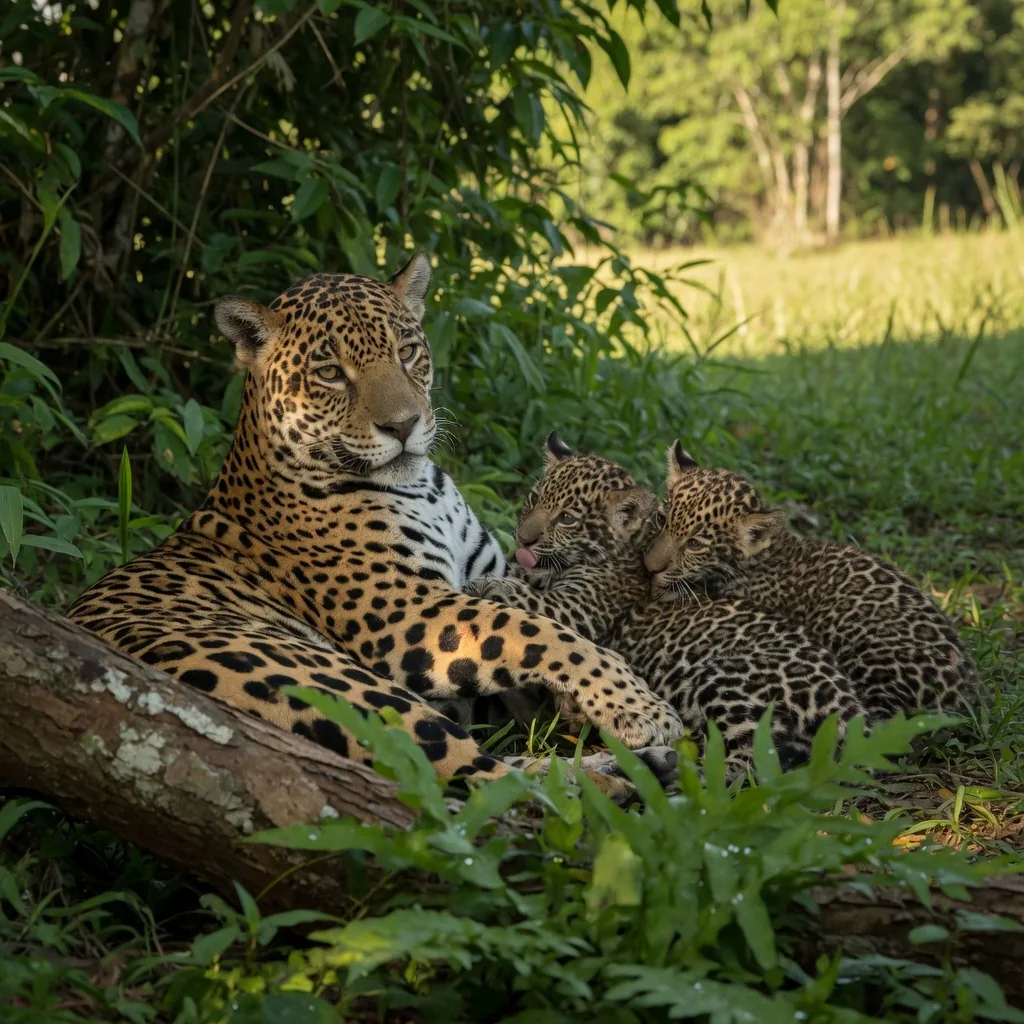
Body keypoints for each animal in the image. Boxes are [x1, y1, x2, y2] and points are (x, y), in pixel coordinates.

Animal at [67, 255, 685, 799]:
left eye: (408, 352)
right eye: (330, 374)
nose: (404, 425)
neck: (423, 489)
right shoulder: (407, 613)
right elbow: (542, 633)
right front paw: (641, 707)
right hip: (334, 683)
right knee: (484, 780)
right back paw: (637, 775)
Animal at [469, 433, 872, 779]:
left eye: (567, 518)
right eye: (534, 500)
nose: (523, 538)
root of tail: (846, 702)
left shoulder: (578, 608)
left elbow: (532, 602)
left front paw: (488, 583)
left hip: (725, 678)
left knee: (751, 762)